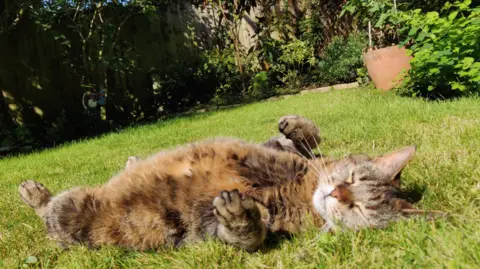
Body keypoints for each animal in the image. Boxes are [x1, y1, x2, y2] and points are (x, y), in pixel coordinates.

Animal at [17, 114, 438, 249]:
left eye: (360, 209)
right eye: (351, 178)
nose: (337, 193)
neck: (302, 193)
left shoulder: (210, 234)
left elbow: (247, 235)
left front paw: (241, 216)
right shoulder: (289, 154)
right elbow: (307, 142)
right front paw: (296, 125)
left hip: (75, 212)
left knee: (51, 216)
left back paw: (38, 197)